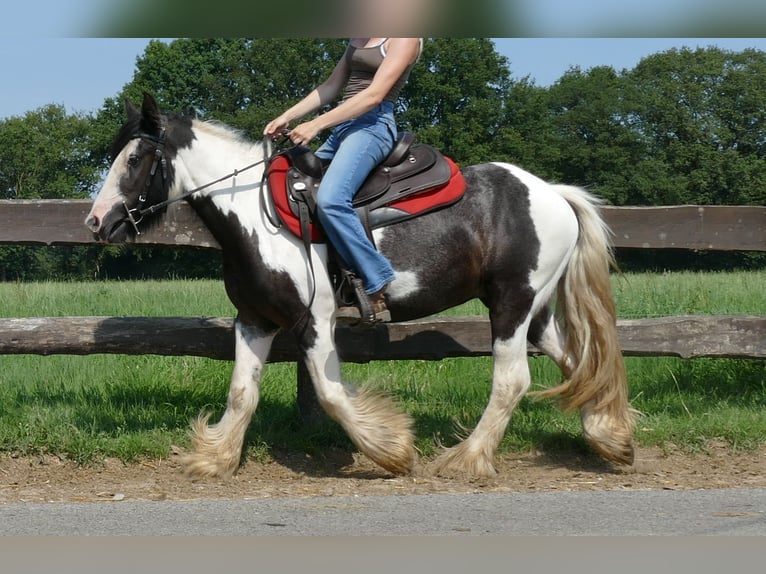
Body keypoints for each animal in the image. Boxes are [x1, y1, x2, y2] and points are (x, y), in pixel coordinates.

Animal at [85, 95, 636, 482]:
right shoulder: (255, 319)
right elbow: (242, 392)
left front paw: (391, 451)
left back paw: (468, 458)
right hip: (535, 311)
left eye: (134, 159)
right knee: (579, 364)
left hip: (511, 304)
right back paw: (610, 438)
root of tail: (553, 194)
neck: (254, 216)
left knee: (513, 380)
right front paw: (215, 459)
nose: (96, 222)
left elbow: (330, 394)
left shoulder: (313, 321)